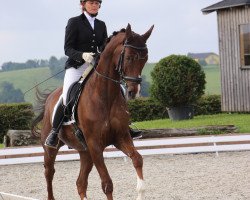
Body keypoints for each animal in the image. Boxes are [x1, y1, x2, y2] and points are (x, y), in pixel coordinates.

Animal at [30, 23, 152, 200]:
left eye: (145, 59)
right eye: (129, 57)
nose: (133, 92)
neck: (105, 96)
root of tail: (50, 97)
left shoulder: (121, 137)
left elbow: (138, 159)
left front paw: (141, 191)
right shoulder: (95, 144)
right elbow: (107, 184)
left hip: (84, 151)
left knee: (80, 183)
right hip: (51, 148)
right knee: (49, 173)